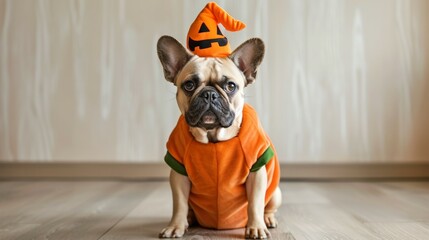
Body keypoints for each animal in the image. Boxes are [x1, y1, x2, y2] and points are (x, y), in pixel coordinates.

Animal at [157, 34, 280, 239]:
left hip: (276, 194)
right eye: (189, 85)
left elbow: (255, 204)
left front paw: (256, 227)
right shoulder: (178, 174)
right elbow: (179, 204)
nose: (209, 94)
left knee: (268, 206)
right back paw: (189, 219)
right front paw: (175, 225)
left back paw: (268, 219)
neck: (213, 137)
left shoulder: (256, 173)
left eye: (230, 86)